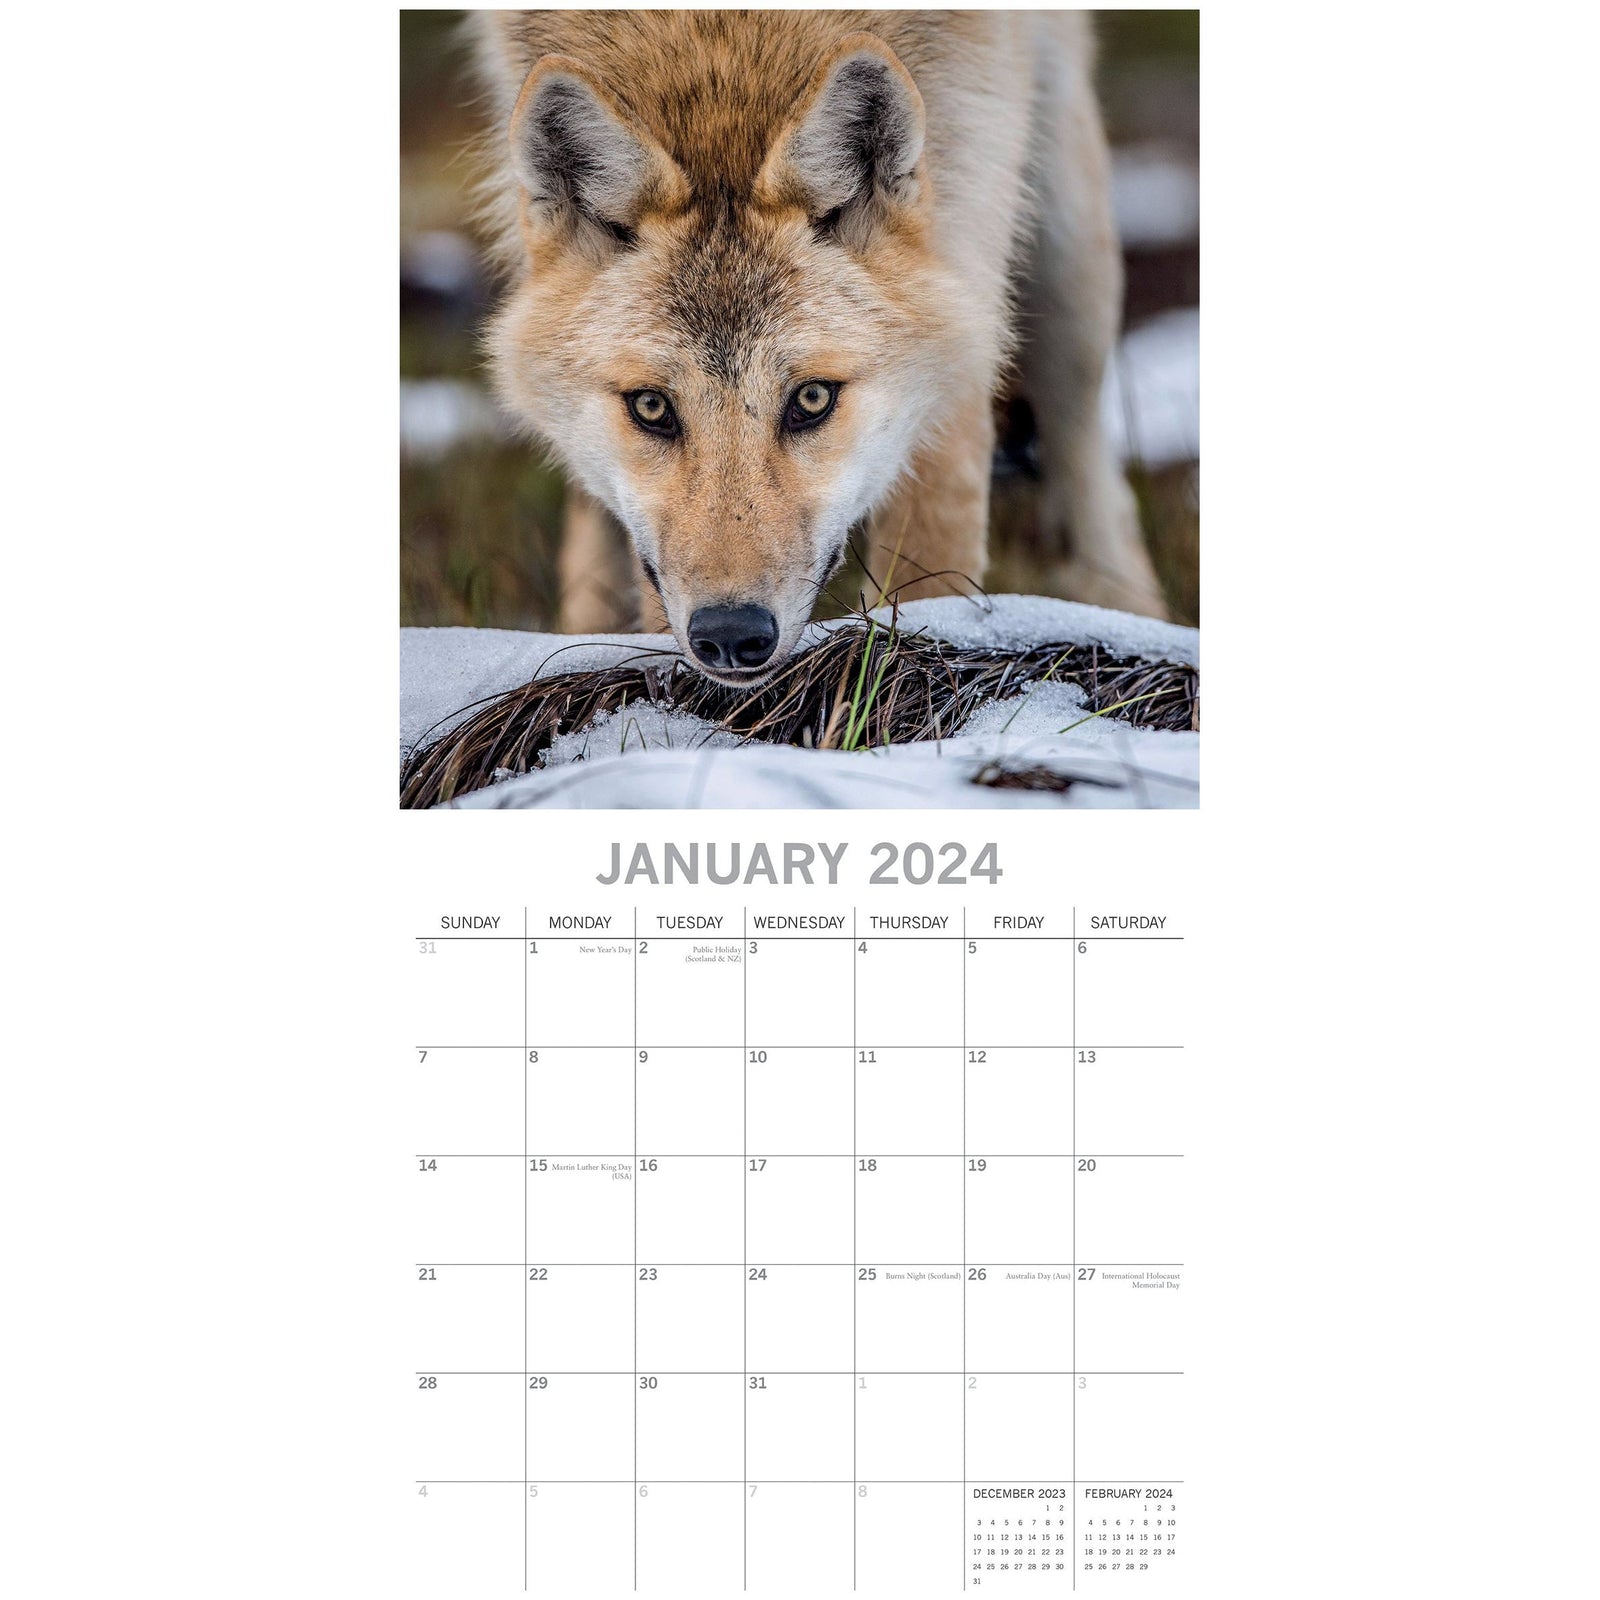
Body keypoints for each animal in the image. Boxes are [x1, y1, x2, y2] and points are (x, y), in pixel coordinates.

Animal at [467, 9, 1166, 684]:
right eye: (651, 408)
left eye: (811, 399)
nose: (730, 636)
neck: (723, 42)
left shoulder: (971, 266)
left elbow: (931, 566)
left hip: (1065, 233)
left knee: (1086, 450)